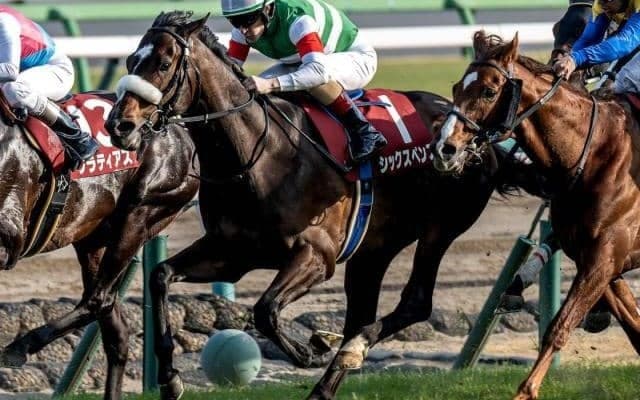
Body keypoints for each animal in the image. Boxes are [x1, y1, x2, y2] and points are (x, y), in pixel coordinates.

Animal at [0, 92, 199, 400]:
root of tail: (179, 129)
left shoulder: (8, 237)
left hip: (140, 215)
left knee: (99, 300)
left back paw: (19, 347)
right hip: (92, 239)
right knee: (117, 330)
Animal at [102, 11, 542, 399]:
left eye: (163, 63)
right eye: (130, 60)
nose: (118, 125)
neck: (259, 154)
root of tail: (482, 141)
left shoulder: (316, 253)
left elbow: (265, 309)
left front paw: (307, 351)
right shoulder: (233, 252)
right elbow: (160, 276)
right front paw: (170, 379)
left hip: (440, 228)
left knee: (415, 301)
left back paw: (346, 354)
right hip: (373, 248)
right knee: (361, 315)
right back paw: (331, 377)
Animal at [431, 31, 640, 399]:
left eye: (488, 91)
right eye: (456, 87)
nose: (445, 149)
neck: (595, 154)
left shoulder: (604, 260)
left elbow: (559, 327)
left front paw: (524, 391)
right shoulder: (603, 264)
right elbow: (635, 327)